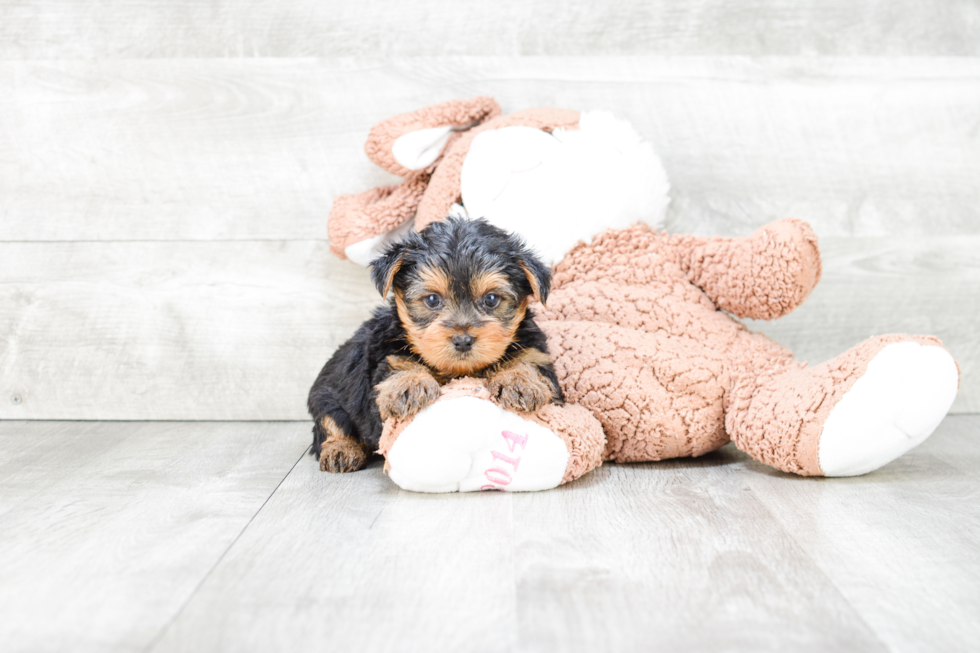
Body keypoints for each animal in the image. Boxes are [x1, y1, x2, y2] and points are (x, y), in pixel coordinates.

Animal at [310, 216, 564, 472]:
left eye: (491, 299)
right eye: (432, 300)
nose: (463, 340)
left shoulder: (535, 349)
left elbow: (529, 360)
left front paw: (519, 381)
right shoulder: (385, 355)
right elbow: (398, 362)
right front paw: (409, 385)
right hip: (325, 395)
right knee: (330, 423)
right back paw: (341, 450)